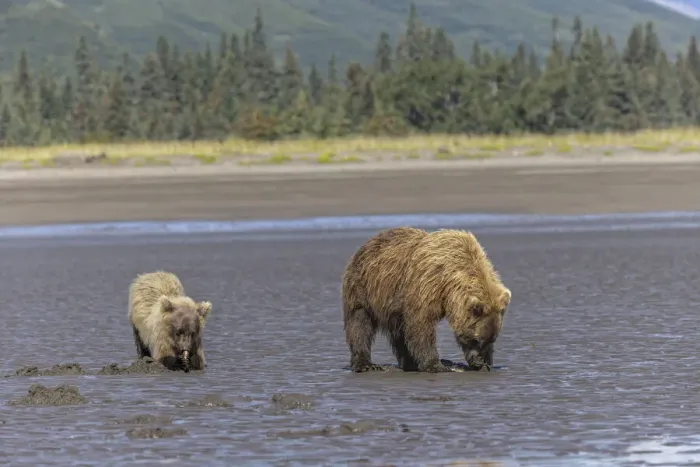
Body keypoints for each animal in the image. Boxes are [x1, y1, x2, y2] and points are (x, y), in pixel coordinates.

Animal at [341, 227, 511, 373]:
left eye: (491, 340)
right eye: (476, 339)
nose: (480, 361)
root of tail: (366, 244)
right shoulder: (427, 282)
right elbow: (421, 323)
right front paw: (436, 365)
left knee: (400, 332)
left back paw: (410, 363)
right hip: (364, 288)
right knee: (360, 324)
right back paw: (366, 364)